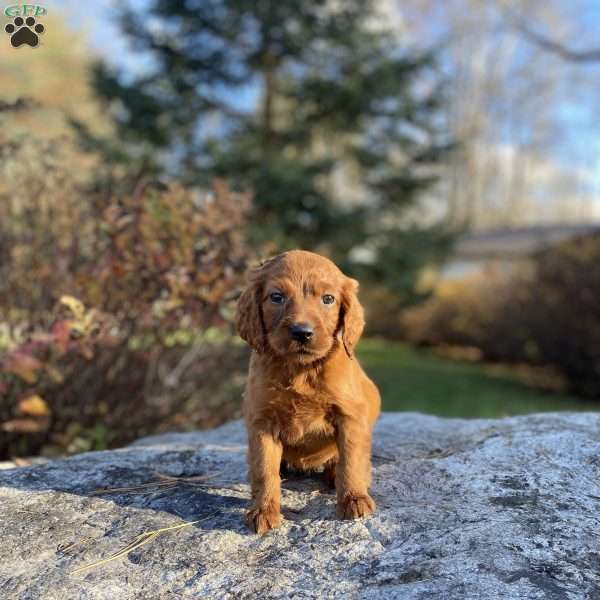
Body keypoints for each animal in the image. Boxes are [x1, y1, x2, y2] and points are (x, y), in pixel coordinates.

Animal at [234, 251, 380, 532]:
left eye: (328, 299)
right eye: (276, 297)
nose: (302, 333)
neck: (301, 369)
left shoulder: (350, 416)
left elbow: (351, 460)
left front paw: (354, 498)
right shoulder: (261, 421)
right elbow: (264, 469)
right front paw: (263, 510)